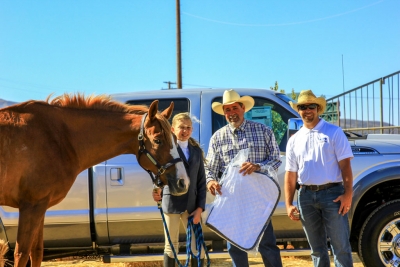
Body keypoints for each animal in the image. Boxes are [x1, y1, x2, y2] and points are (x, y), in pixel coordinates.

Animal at [0, 93, 190, 266]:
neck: (58, 138)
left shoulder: (40, 206)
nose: (183, 182)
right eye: (158, 140)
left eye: (175, 138)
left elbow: (36, 252)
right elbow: (22, 254)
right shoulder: (31, 206)